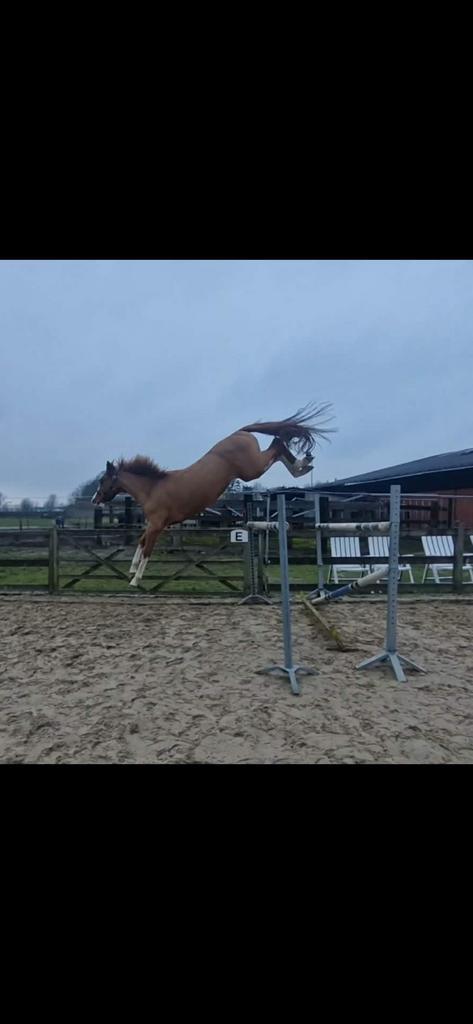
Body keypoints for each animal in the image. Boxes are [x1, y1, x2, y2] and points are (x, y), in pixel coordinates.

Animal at [92, 402, 334, 586]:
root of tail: (240, 431)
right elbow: (141, 543)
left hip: (251, 469)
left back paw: (302, 466)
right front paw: (132, 570)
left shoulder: (157, 525)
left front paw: (135, 579)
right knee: (278, 444)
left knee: (277, 445)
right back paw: (304, 464)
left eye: (103, 480)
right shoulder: (152, 524)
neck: (153, 488)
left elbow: (147, 548)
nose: (95, 500)